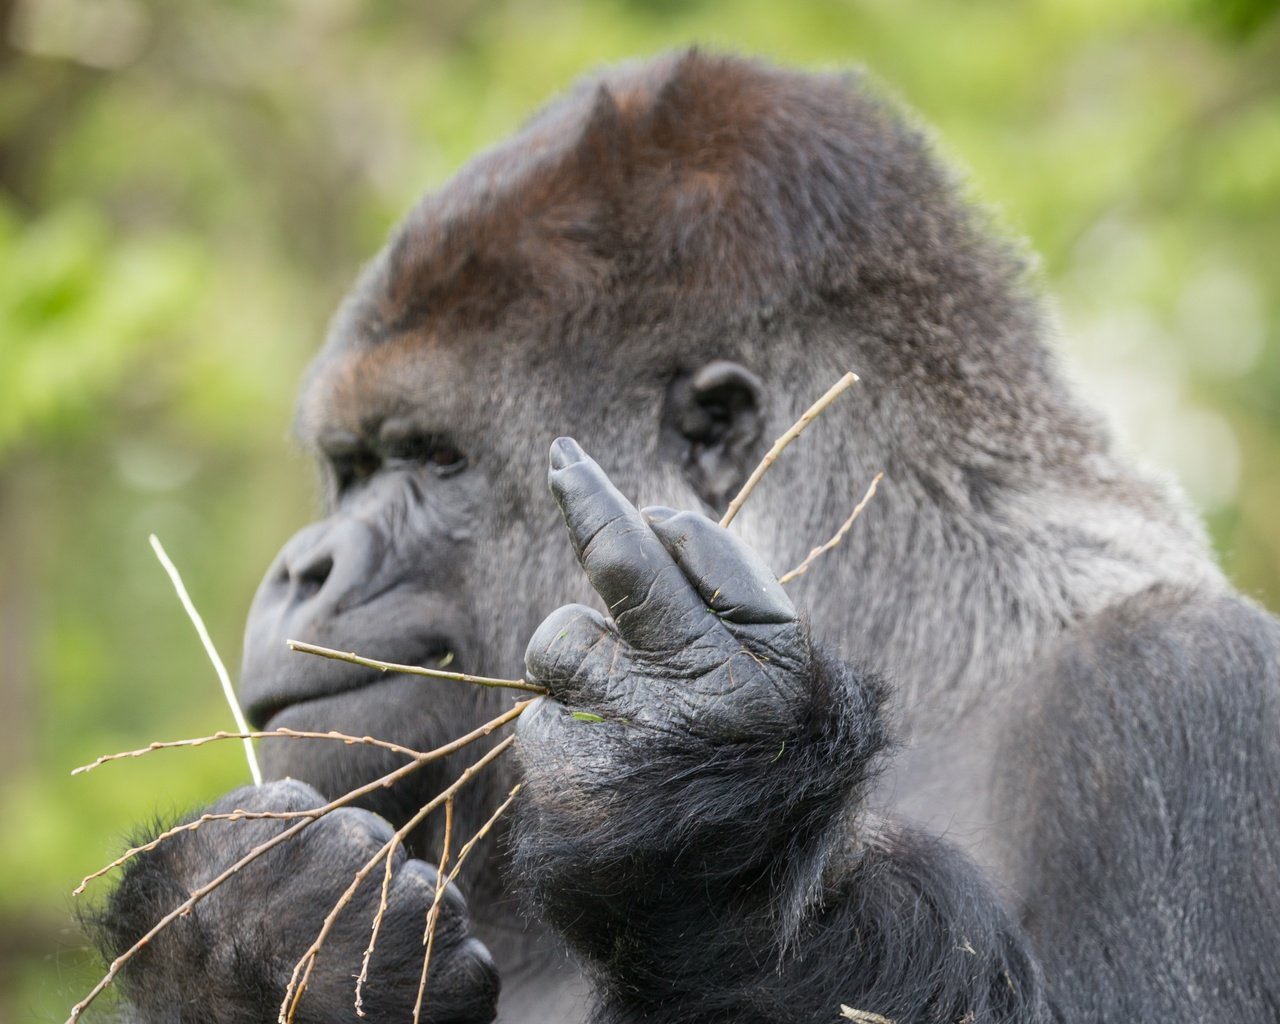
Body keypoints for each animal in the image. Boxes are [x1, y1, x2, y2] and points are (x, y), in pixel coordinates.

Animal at [97, 49, 1280, 1024]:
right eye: (346, 470)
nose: (303, 570)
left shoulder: (1186, 688)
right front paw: (233, 936)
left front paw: (697, 809)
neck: (920, 626)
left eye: (432, 460)